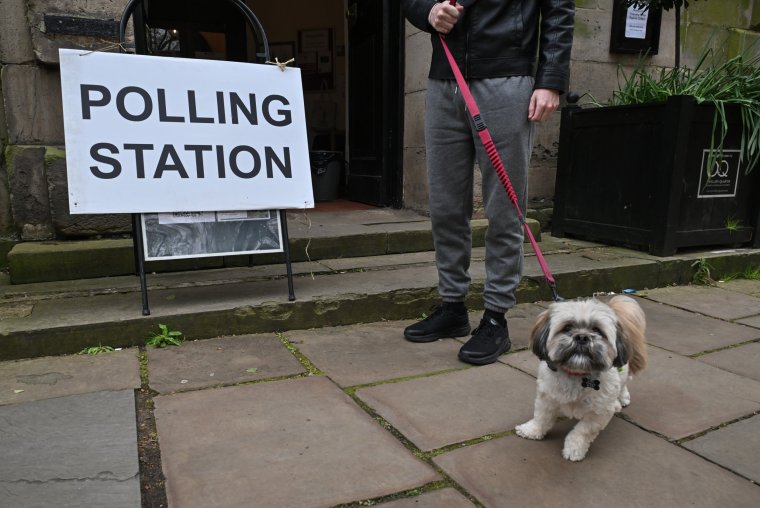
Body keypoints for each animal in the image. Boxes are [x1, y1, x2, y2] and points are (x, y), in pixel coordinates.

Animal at [512, 296, 644, 462]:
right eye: (567, 327)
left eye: (597, 330)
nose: (582, 336)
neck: (577, 374)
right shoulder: (546, 397)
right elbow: (541, 417)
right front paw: (532, 430)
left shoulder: (598, 413)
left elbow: (582, 432)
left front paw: (574, 449)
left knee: (624, 380)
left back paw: (622, 399)